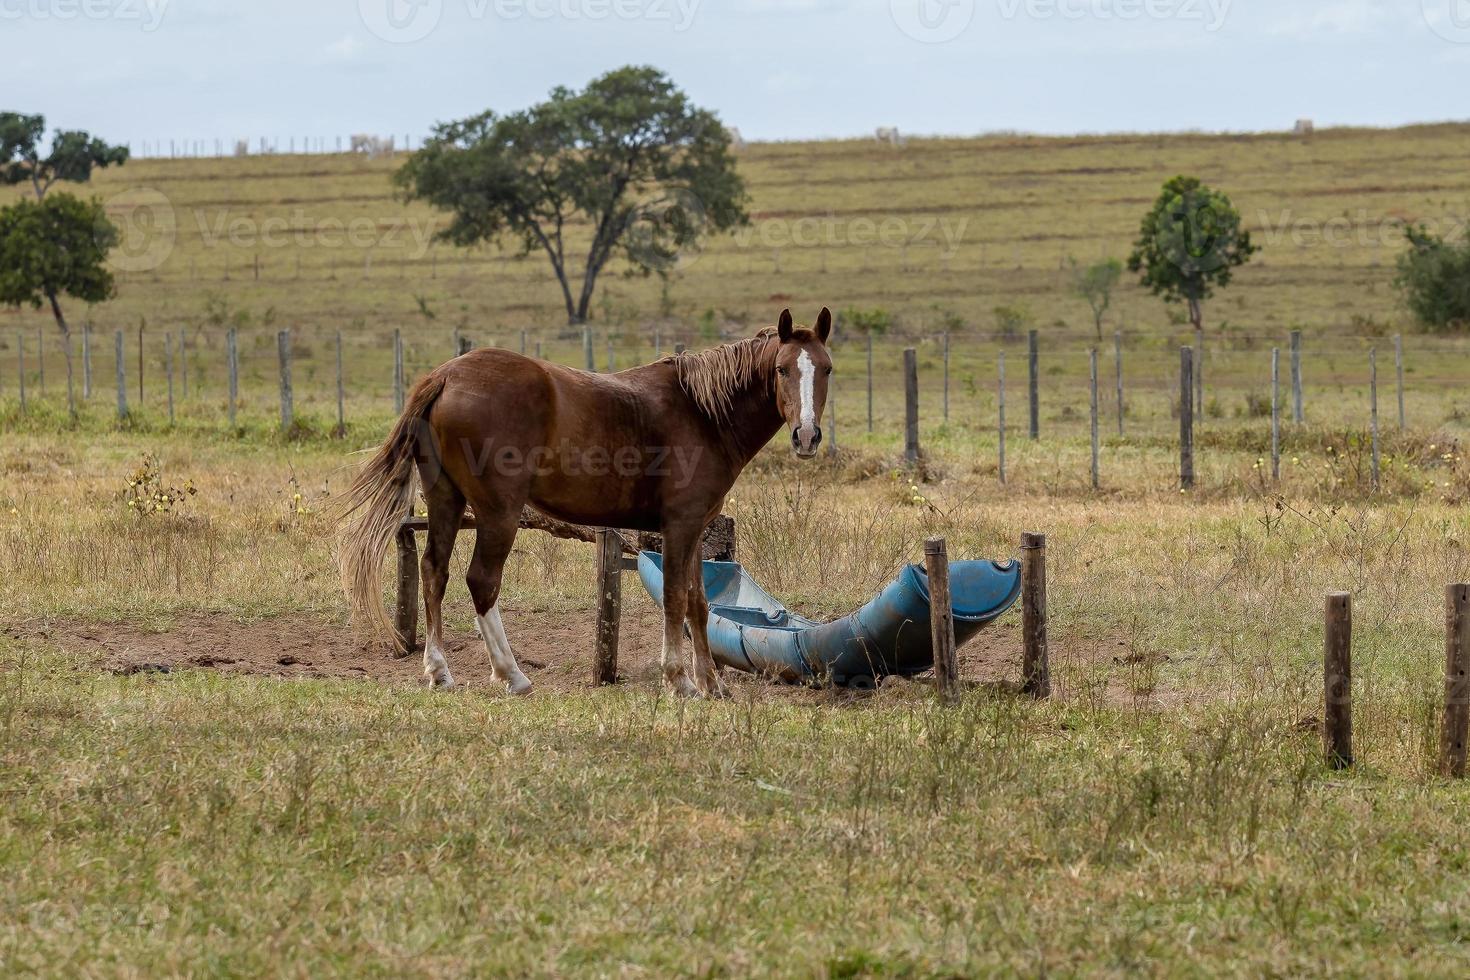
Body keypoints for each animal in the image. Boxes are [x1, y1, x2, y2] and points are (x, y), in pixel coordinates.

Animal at [336, 307, 834, 696]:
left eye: (826, 368)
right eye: (782, 369)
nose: (807, 436)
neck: (701, 411)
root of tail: (446, 375)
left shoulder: (695, 529)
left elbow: (698, 603)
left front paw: (711, 683)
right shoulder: (680, 526)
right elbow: (675, 598)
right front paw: (680, 680)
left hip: (447, 502)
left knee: (433, 572)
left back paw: (439, 670)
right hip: (498, 514)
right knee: (481, 581)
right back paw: (511, 674)